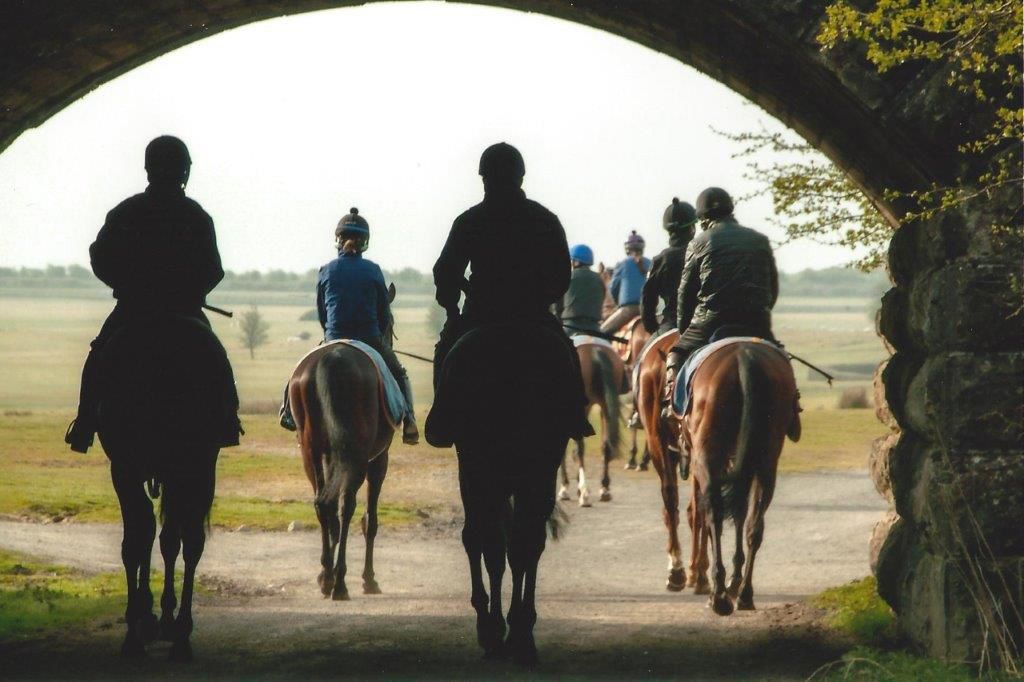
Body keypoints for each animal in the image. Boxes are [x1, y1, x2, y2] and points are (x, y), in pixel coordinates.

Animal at [428, 323, 581, 663]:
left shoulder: (473, 473)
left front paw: (492, 625)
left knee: (499, 544)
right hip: (534, 473)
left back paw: (499, 630)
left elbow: (478, 539)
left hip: (487, 473)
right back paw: (520, 634)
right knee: (525, 543)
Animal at [561, 339, 622, 503]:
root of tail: (595, 351)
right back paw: (604, 489)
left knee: (580, 447)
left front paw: (565, 488)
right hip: (604, 405)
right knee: (606, 446)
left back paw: (584, 492)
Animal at [679, 342, 798, 614]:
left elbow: (706, 515)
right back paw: (744, 594)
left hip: (708, 456)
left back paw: (719, 595)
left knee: (713, 514)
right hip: (766, 461)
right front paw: (735, 579)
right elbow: (740, 513)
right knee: (755, 525)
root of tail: (744, 357)